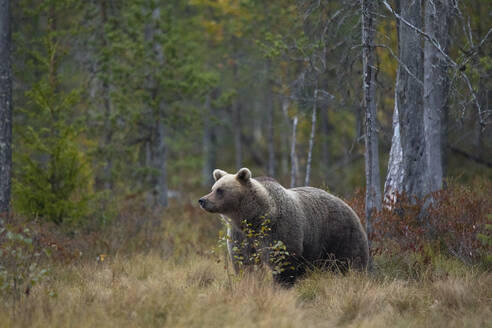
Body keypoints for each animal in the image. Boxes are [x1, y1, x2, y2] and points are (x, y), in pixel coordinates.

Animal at [198, 168, 368, 284]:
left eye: (220, 190)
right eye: (213, 188)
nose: (202, 200)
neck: (253, 217)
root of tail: (349, 205)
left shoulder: (278, 230)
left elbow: (282, 262)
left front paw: (280, 285)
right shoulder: (240, 234)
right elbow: (245, 261)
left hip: (340, 234)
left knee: (353, 261)